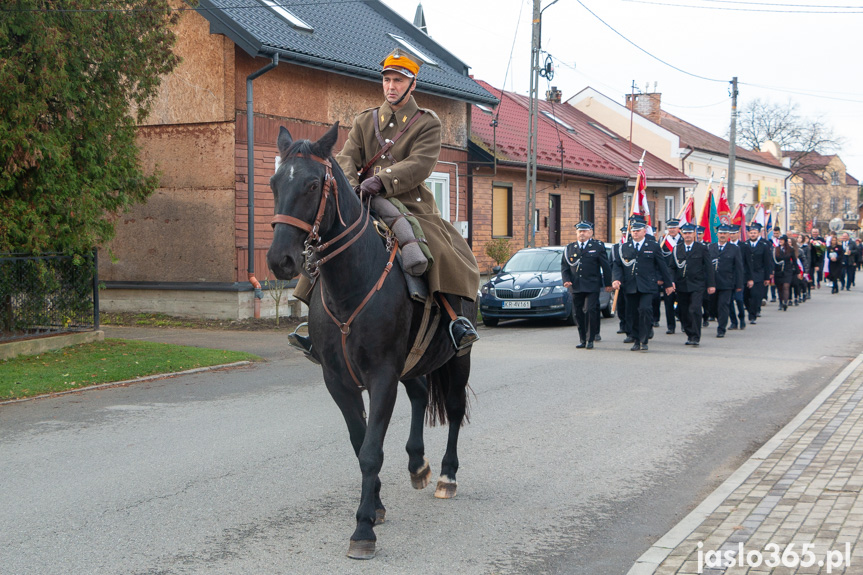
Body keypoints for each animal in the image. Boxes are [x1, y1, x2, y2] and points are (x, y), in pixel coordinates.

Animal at [266, 124, 476, 560]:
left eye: (313, 184)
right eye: (275, 182)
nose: (280, 260)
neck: (352, 283)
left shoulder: (381, 376)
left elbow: (371, 450)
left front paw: (363, 528)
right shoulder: (338, 381)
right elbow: (359, 441)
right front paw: (375, 505)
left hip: (458, 358)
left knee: (453, 408)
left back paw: (446, 475)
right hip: (412, 364)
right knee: (419, 395)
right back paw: (418, 464)